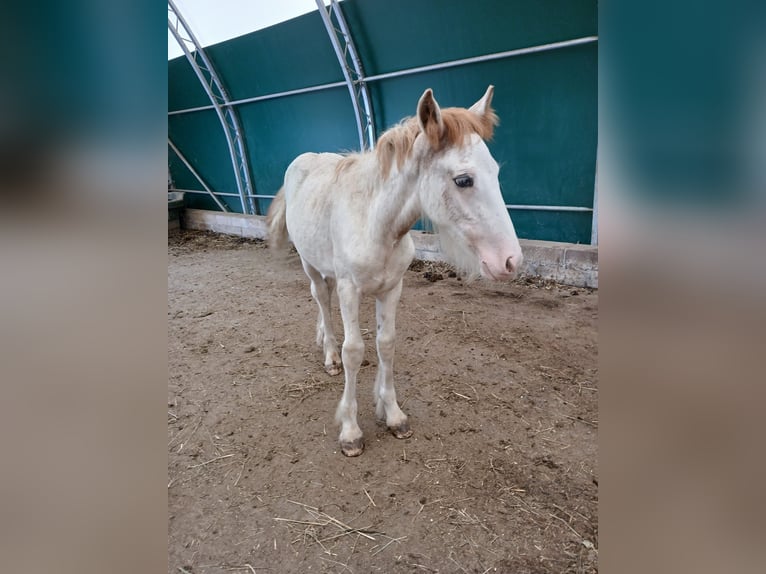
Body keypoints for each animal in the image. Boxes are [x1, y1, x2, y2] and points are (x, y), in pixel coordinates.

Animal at [268, 85, 524, 456]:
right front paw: (350, 431)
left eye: (496, 172)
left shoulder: (392, 288)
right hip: (309, 264)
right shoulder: (350, 289)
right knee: (321, 298)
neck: (374, 221)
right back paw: (329, 354)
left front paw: (392, 414)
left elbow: (386, 344)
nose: (510, 260)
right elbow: (353, 351)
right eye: (463, 180)